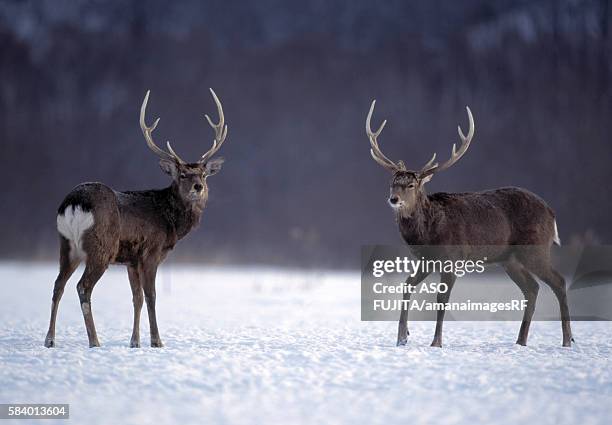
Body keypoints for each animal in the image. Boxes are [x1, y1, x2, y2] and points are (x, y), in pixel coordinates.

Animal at [44, 89, 228, 348]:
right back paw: (94, 341)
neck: (169, 221)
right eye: (182, 174)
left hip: (67, 245)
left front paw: (135, 342)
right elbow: (151, 296)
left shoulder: (131, 260)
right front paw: (156, 341)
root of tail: (74, 202)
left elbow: (136, 298)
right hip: (101, 246)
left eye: (203, 174)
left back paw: (50, 339)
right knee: (83, 286)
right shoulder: (151, 252)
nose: (198, 187)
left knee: (58, 284)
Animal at [368, 100, 572, 348]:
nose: (393, 199)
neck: (427, 233)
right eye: (392, 183)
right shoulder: (426, 260)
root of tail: (552, 213)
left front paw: (436, 342)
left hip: (535, 249)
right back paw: (521, 341)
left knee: (558, 281)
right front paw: (402, 337)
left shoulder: (453, 258)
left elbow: (442, 299)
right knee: (532, 288)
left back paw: (567, 340)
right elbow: (407, 285)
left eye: (411, 185)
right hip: (510, 260)